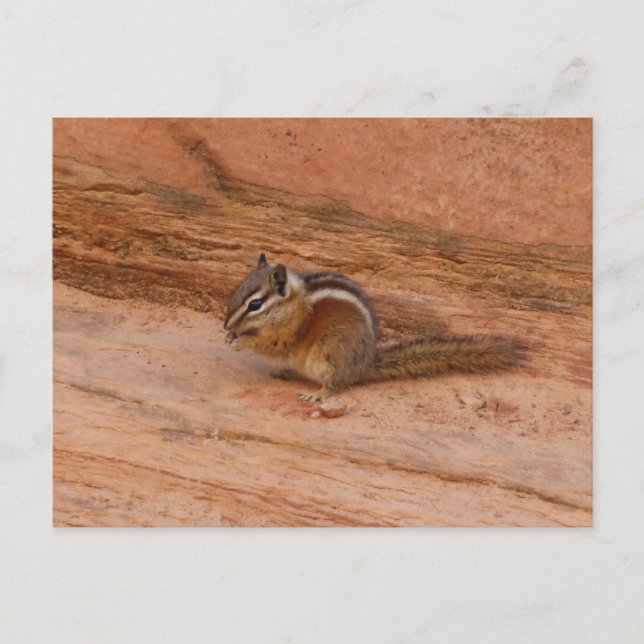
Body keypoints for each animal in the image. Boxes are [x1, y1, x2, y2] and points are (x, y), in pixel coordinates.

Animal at [224, 252, 523, 401]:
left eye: (255, 304)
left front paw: (241, 340)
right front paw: (230, 336)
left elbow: (274, 345)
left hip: (329, 354)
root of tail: (364, 365)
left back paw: (317, 394)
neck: (293, 304)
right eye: (237, 291)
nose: (225, 323)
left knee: (336, 384)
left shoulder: (293, 332)